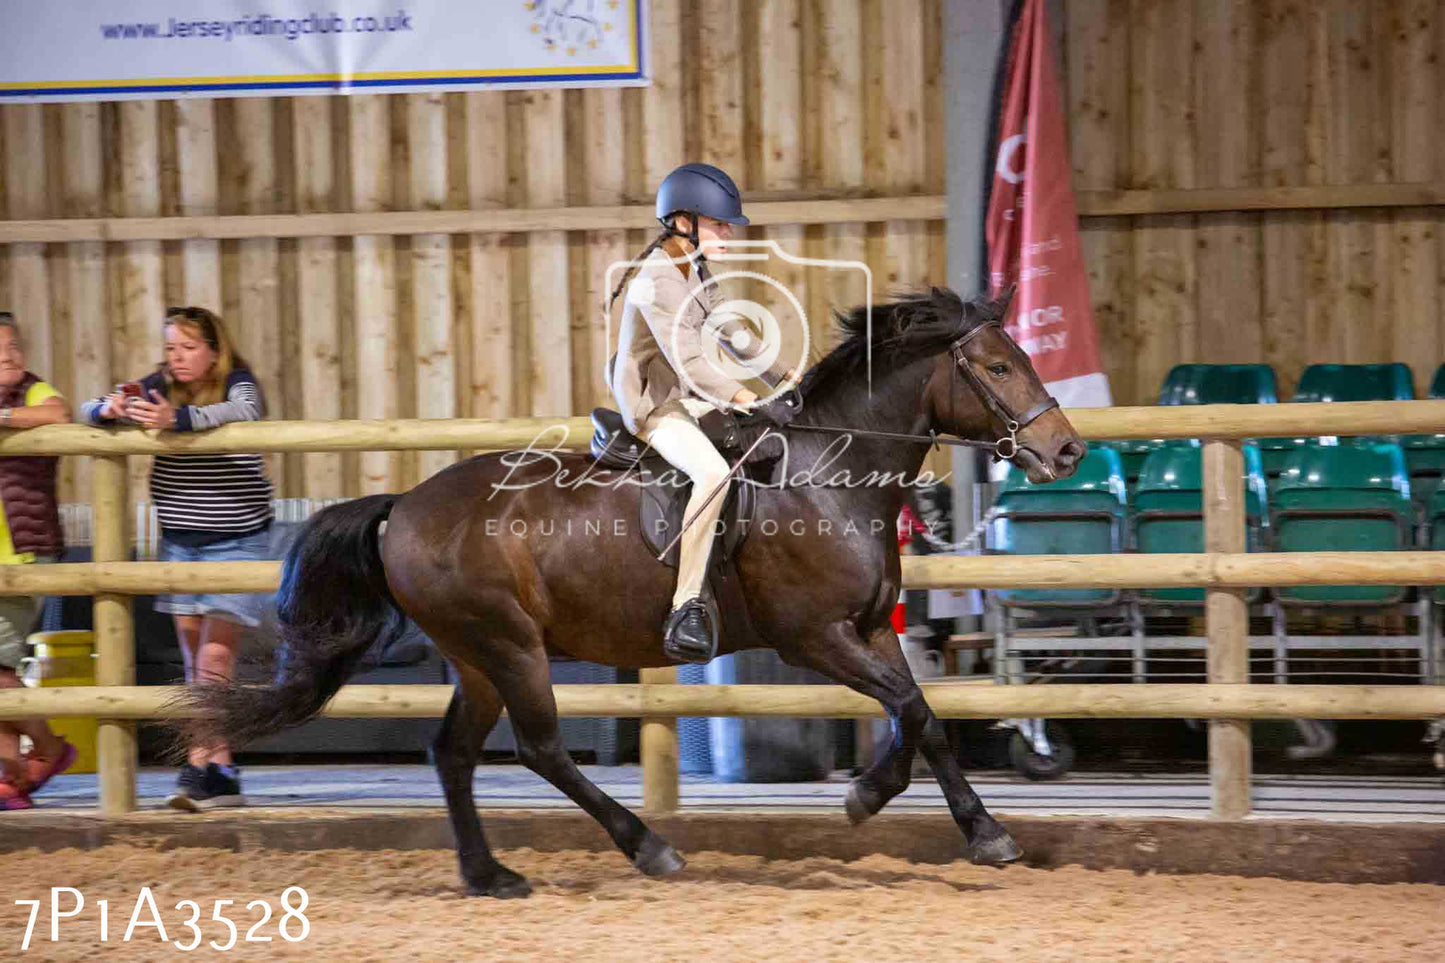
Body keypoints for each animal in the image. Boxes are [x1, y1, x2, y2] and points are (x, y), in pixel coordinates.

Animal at [186, 284, 1086, 890]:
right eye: (997, 364)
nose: (1066, 450)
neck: (827, 473)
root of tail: (402, 506)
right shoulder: (815, 637)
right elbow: (907, 711)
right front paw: (867, 795)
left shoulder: (870, 629)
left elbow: (924, 715)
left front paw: (984, 831)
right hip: (510, 645)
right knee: (541, 748)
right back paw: (646, 845)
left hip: (477, 656)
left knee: (453, 753)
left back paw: (490, 874)